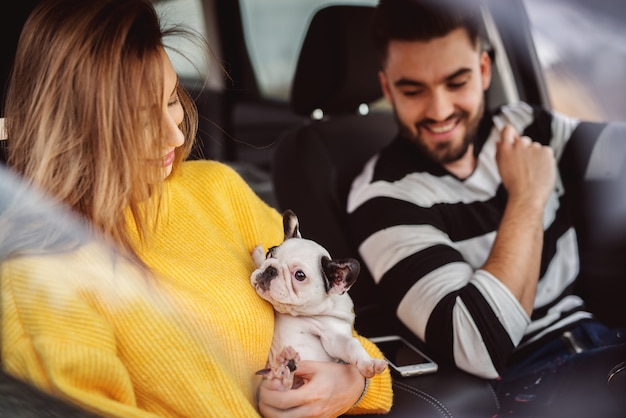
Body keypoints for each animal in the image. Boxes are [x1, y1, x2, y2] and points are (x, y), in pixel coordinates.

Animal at [250, 211, 386, 390]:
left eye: (300, 275)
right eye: (270, 253)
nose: (271, 270)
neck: (296, 314)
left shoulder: (333, 337)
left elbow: (351, 344)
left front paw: (369, 363)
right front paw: (258, 256)